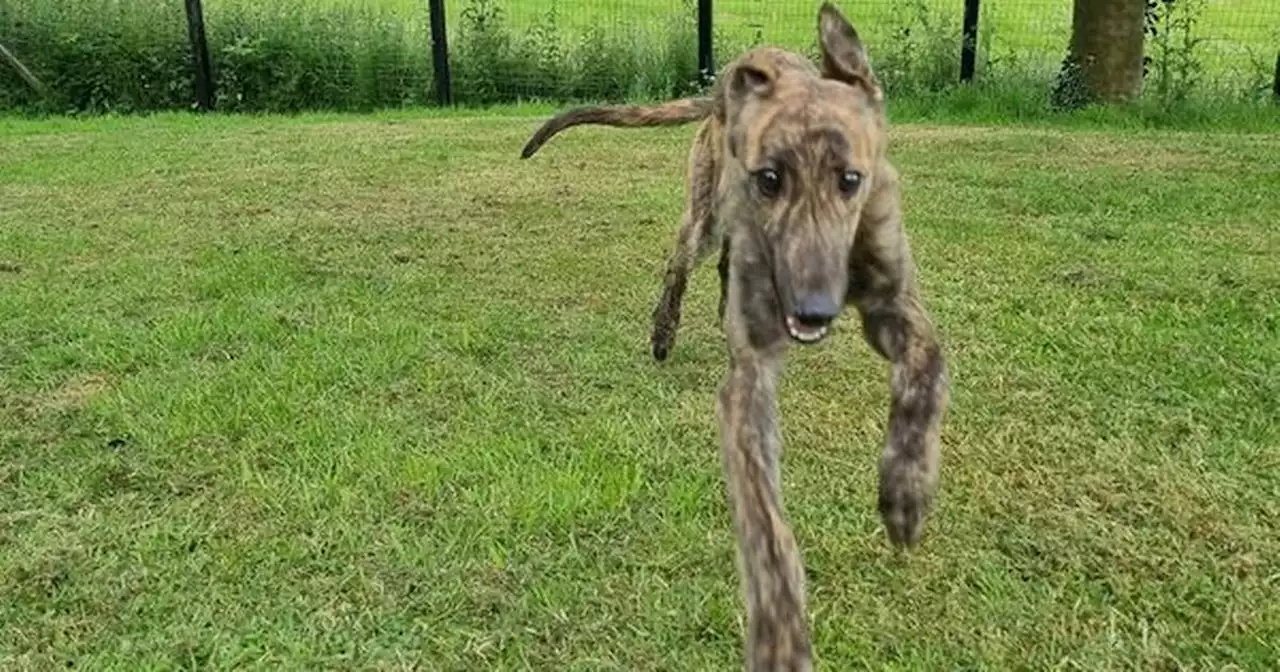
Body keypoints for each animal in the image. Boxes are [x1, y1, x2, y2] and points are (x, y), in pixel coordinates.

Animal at [519, 3, 952, 665]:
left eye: (850, 179)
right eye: (770, 177)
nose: (815, 309)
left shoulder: (897, 308)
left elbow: (926, 372)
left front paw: (906, 493)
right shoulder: (749, 385)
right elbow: (763, 518)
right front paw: (780, 628)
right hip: (704, 211)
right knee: (680, 261)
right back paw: (664, 331)